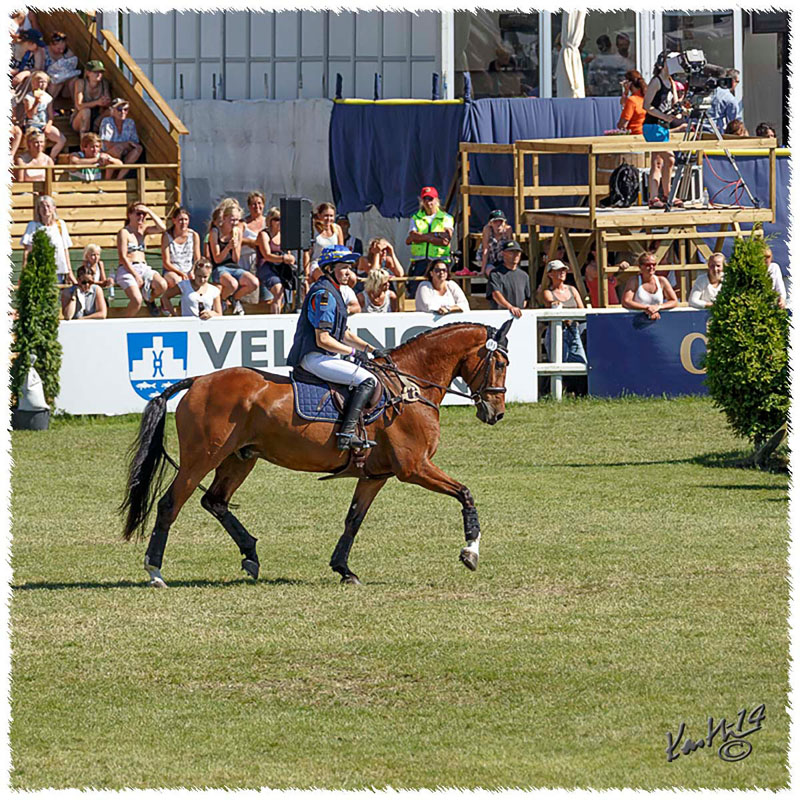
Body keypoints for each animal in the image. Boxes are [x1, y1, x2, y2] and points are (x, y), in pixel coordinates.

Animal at [122, 318, 516, 588]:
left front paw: (344, 569)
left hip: (240, 458)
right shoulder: (415, 467)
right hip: (201, 458)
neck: (408, 387)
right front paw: (470, 552)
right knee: (171, 504)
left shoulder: (376, 475)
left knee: (215, 501)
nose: (495, 413)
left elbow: (353, 521)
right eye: (500, 364)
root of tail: (198, 381)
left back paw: (250, 555)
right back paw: (155, 571)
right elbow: (465, 493)